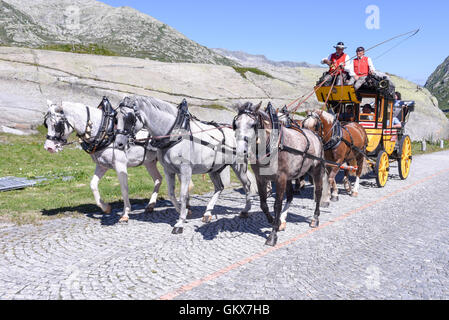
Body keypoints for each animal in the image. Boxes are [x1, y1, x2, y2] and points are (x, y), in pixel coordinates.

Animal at [114, 96, 252, 234]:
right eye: (116, 118)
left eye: (129, 118)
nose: (119, 143)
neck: (176, 133)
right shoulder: (168, 170)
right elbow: (171, 193)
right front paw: (183, 210)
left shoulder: (185, 170)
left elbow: (183, 194)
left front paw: (180, 222)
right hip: (213, 169)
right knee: (219, 187)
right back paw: (207, 213)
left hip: (238, 166)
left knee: (247, 184)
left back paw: (245, 210)